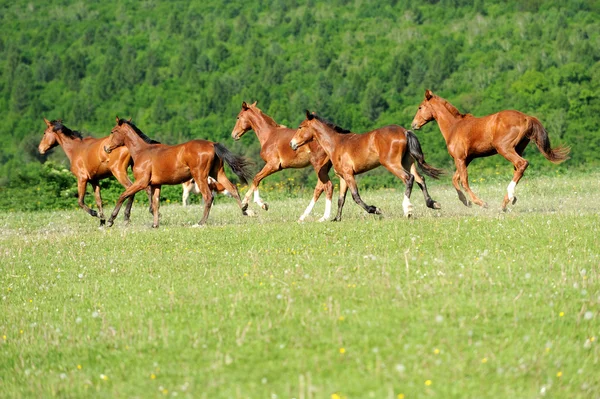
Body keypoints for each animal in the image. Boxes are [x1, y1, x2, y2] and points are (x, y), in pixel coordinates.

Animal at [104, 116, 252, 228]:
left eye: (113, 131)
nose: (106, 148)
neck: (143, 151)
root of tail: (212, 144)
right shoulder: (156, 184)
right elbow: (156, 203)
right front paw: (155, 224)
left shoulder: (141, 182)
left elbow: (123, 195)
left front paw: (110, 220)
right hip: (217, 174)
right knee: (233, 189)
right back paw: (245, 211)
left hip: (200, 176)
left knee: (208, 197)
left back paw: (201, 222)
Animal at [288, 111, 442, 222]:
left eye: (300, 127)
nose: (292, 144)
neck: (336, 144)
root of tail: (405, 131)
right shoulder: (343, 177)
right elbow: (341, 199)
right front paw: (336, 219)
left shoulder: (349, 174)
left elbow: (355, 196)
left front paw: (374, 210)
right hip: (407, 162)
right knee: (420, 179)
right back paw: (433, 204)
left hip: (392, 164)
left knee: (408, 178)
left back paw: (408, 210)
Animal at [410, 90, 568, 209]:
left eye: (420, 107)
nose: (414, 124)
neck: (454, 127)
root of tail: (526, 118)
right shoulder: (467, 159)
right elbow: (455, 179)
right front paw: (465, 201)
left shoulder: (460, 158)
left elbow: (464, 181)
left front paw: (480, 203)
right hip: (517, 148)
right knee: (518, 169)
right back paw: (507, 201)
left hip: (504, 148)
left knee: (522, 164)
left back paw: (509, 197)